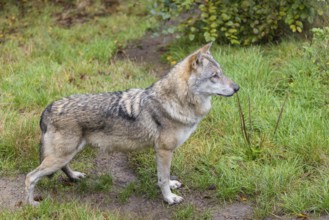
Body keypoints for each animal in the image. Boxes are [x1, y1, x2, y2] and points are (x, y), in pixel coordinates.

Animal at [23, 43, 238, 206]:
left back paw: (75, 177)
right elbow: (162, 178)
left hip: (70, 152)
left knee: (63, 168)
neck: (177, 100)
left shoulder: (163, 152)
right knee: (30, 177)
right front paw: (169, 198)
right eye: (214, 76)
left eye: (222, 73)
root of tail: (48, 108)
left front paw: (172, 186)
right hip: (61, 155)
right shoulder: (164, 151)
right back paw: (31, 204)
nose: (237, 88)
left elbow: (164, 177)